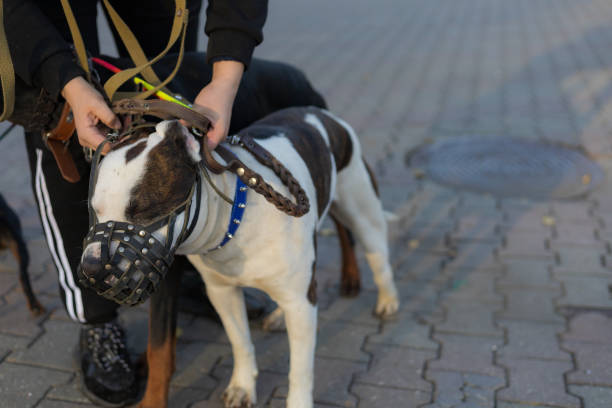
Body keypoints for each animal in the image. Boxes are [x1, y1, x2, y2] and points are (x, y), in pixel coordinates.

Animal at [80, 107, 396, 408]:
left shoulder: (300, 303)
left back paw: (386, 299)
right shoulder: (222, 292)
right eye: (94, 210)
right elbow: (240, 340)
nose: (91, 267)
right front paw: (243, 386)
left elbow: (300, 370)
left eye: (144, 211)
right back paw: (280, 316)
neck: (234, 215)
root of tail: (319, 113)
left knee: (373, 251)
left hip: (362, 209)